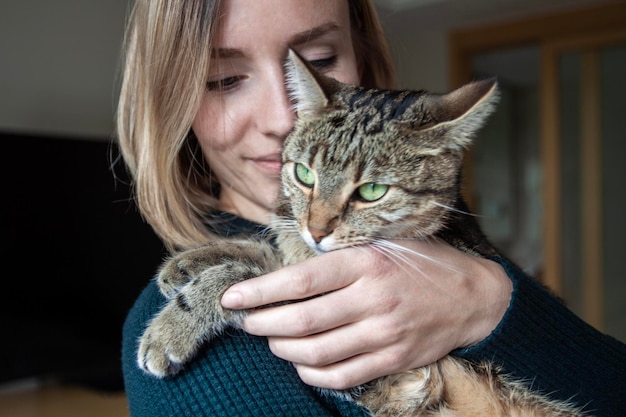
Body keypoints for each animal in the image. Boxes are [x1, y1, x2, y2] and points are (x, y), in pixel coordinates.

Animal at [136, 50, 584, 414]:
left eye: (371, 191)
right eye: (304, 174)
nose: (317, 230)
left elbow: (250, 277)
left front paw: (171, 328)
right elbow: (268, 251)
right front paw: (186, 262)